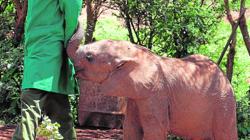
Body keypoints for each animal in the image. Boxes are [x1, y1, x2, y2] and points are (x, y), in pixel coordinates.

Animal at [67, 25, 237, 139]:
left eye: (89, 57)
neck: (135, 53)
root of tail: (225, 78)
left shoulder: (156, 93)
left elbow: (154, 129)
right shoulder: (137, 94)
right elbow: (131, 127)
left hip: (223, 103)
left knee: (224, 133)